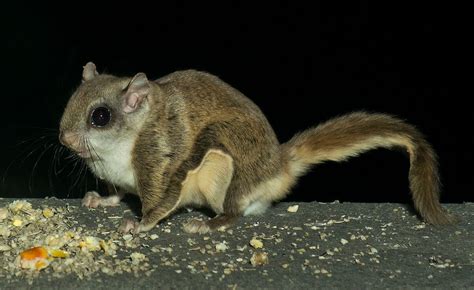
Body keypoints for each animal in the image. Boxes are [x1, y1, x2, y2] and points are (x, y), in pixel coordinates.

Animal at [58, 61, 456, 233]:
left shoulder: (160, 156)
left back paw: (213, 223)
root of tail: (279, 164)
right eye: (72, 101)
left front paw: (139, 225)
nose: (65, 139)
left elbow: (160, 199)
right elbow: (119, 193)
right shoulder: (122, 178)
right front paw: (100, 200)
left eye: (100, 117)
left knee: (236, 207)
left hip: (226, 159)